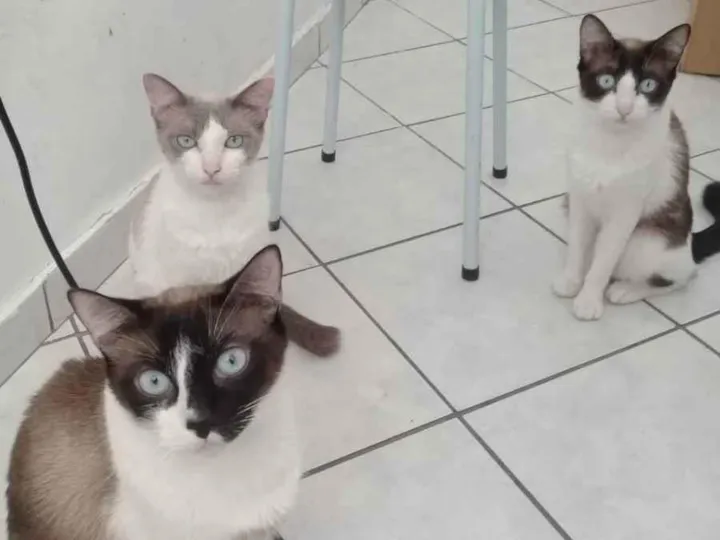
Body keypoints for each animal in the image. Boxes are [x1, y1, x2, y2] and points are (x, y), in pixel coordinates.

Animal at [553, 15, 720, 321]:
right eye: (607, 80)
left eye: (648, 86)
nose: (624, 107)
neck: (609, 144)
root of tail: (689, 244)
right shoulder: (579, 197)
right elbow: (577, 247)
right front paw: (571, 281)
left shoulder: (625, 212)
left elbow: (604, 261)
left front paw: (588, 300)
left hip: (648, 242)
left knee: (683, 277)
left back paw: (626, 290)